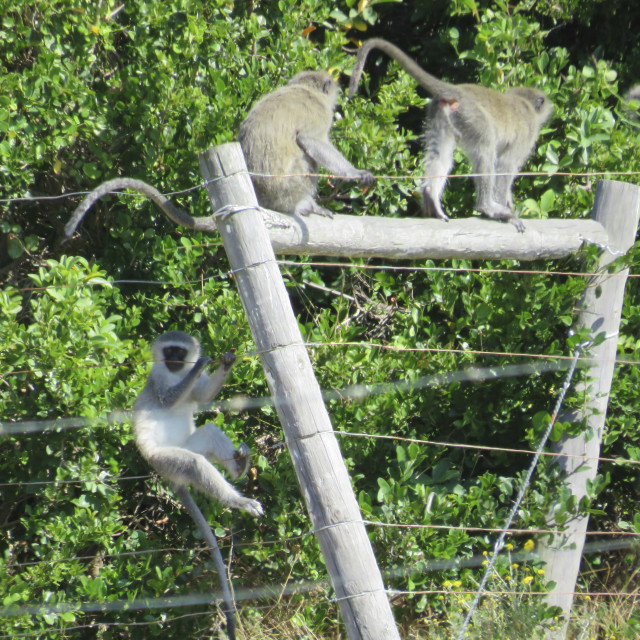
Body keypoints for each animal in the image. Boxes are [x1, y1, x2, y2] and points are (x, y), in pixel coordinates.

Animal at [239, 71, 376, 218]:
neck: (307, 90)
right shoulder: (321, 114)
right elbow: (309, 139)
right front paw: (353, 172)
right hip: (286, 190)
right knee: (308, 160)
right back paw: (303, 205)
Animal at [348, 38, 552, 232]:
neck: (523, 102)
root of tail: (458, 92)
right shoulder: (528, 133)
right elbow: (506, 164)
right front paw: (508, 212)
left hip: (442, 115)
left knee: (441, 155)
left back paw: (431, 196)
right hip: (474, 117)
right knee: (486, 148)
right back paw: (487, 206)